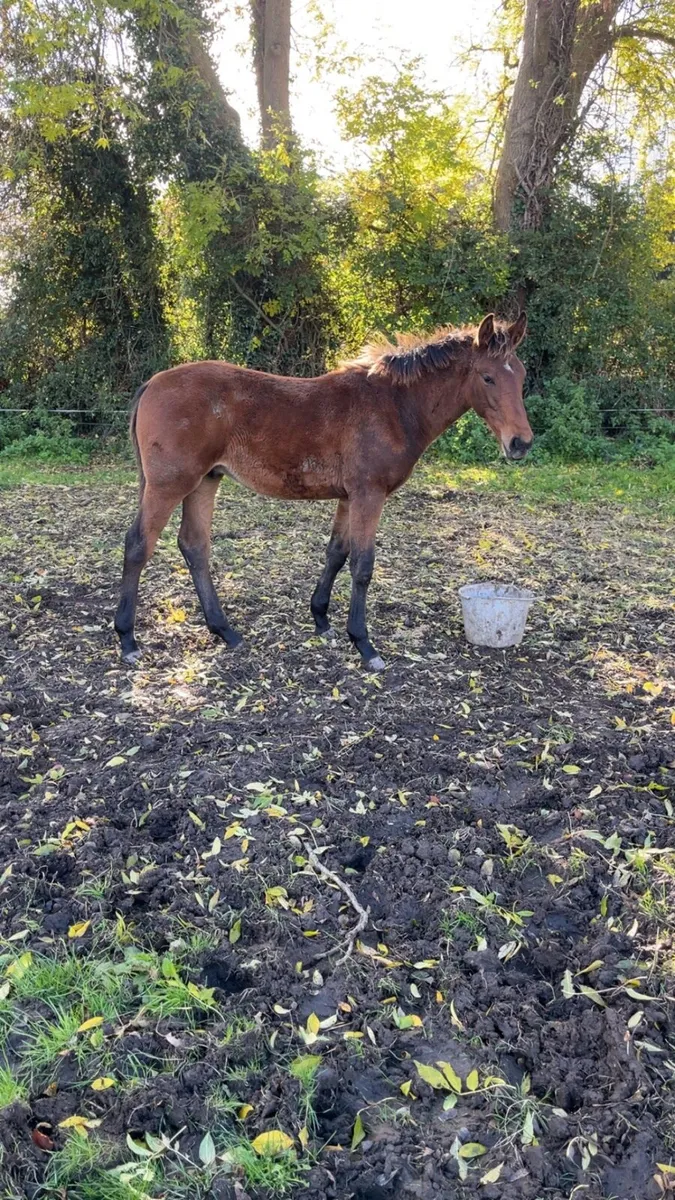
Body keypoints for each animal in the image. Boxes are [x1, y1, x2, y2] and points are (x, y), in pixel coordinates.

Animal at [114, 311, 532, 672]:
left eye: (522, 375)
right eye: (488, 377)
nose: (521, 443)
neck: (393, 407)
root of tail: (153, 383)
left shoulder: (349, 496)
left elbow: (336, 553)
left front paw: (321, 618)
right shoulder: (368, 494)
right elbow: (362, 565)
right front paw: (364, 644)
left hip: (205, 481)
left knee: (194, 546)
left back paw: (225, 631)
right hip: (169, 484)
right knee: (138, 544)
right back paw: (128, 639)